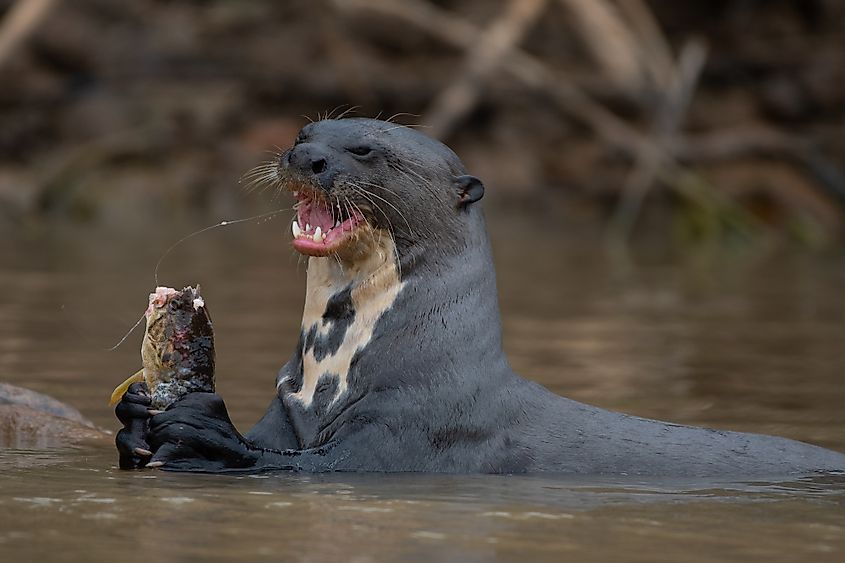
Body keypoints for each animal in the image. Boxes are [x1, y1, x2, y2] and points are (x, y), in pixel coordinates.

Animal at [117, 118, 844, 476]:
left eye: (365, 149)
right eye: (302, 133)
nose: (309, 159)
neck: (338, 371)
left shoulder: (404, 431)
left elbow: (285, 462)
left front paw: (204, 428)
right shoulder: (287, 412)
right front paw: (134, 417)